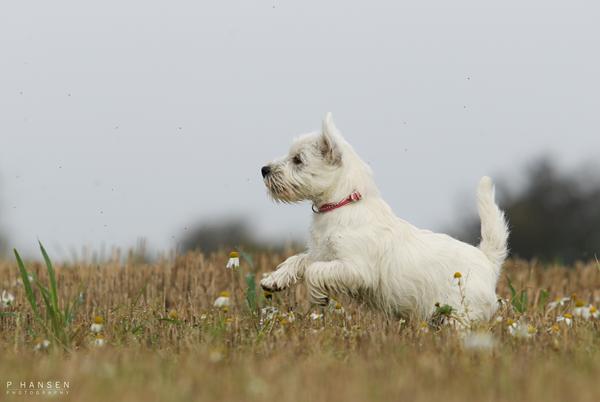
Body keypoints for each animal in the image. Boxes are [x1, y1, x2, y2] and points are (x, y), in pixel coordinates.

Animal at [260, 114, 508, 322]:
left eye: (298, 160)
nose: (264, 169)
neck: (342, 203)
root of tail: (488, 261)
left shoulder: (356, 268)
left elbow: (313, 271)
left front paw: (318, 296)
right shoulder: (323, 254)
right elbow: (300, 260)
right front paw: (274, 280)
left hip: (461, 316)